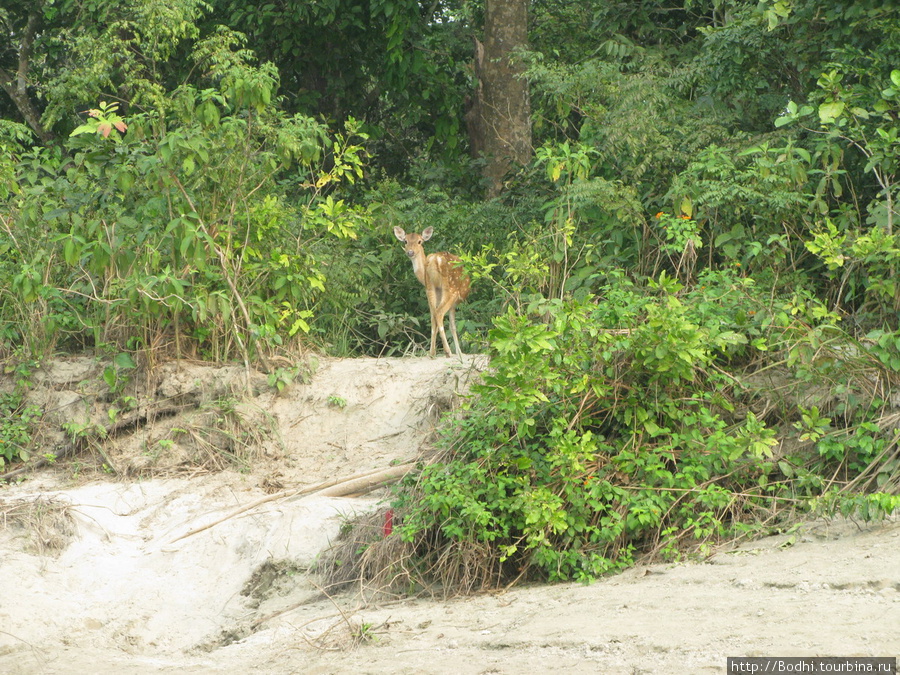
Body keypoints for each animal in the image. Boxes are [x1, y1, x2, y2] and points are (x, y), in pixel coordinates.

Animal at [398, 226, 474, 360]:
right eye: (405, 241)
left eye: (419, 241)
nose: (410, 252)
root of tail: (436, 260)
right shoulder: (454, 303)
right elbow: (453, 326)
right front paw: (460, 352)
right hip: (451, 289)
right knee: (439, 314)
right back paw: (447, 351)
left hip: (430, 289)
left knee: (433, 316)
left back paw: (432, 353)